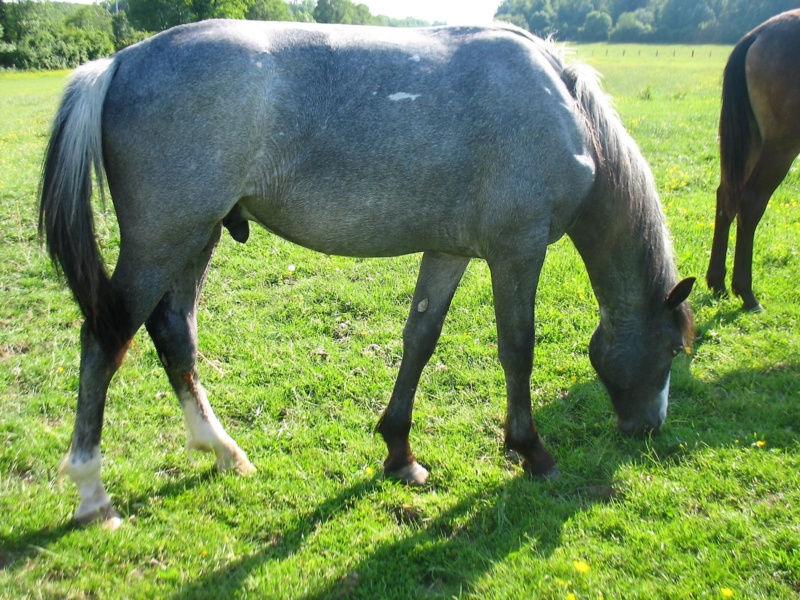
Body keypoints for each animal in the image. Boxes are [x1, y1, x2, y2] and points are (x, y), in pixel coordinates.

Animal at [39, 18, 692, 528]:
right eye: (672, 349)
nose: (650, 428)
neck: (561, 105)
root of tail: (117, 62)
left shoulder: (449, 251)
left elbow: (420, 340)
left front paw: (399, 451)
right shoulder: (518, 251)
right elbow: (517, 349)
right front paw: (531, 451)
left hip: (196, 237)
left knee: (174, 334)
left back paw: (222, 450)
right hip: (162, 242)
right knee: (103, 342)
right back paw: (93, 495)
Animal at [708, 9, 800, 312]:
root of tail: (758, 34)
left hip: (751, 139)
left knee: (727, 195)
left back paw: (718, 282)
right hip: (780, 145)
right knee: (750, 202)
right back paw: (745, 292)